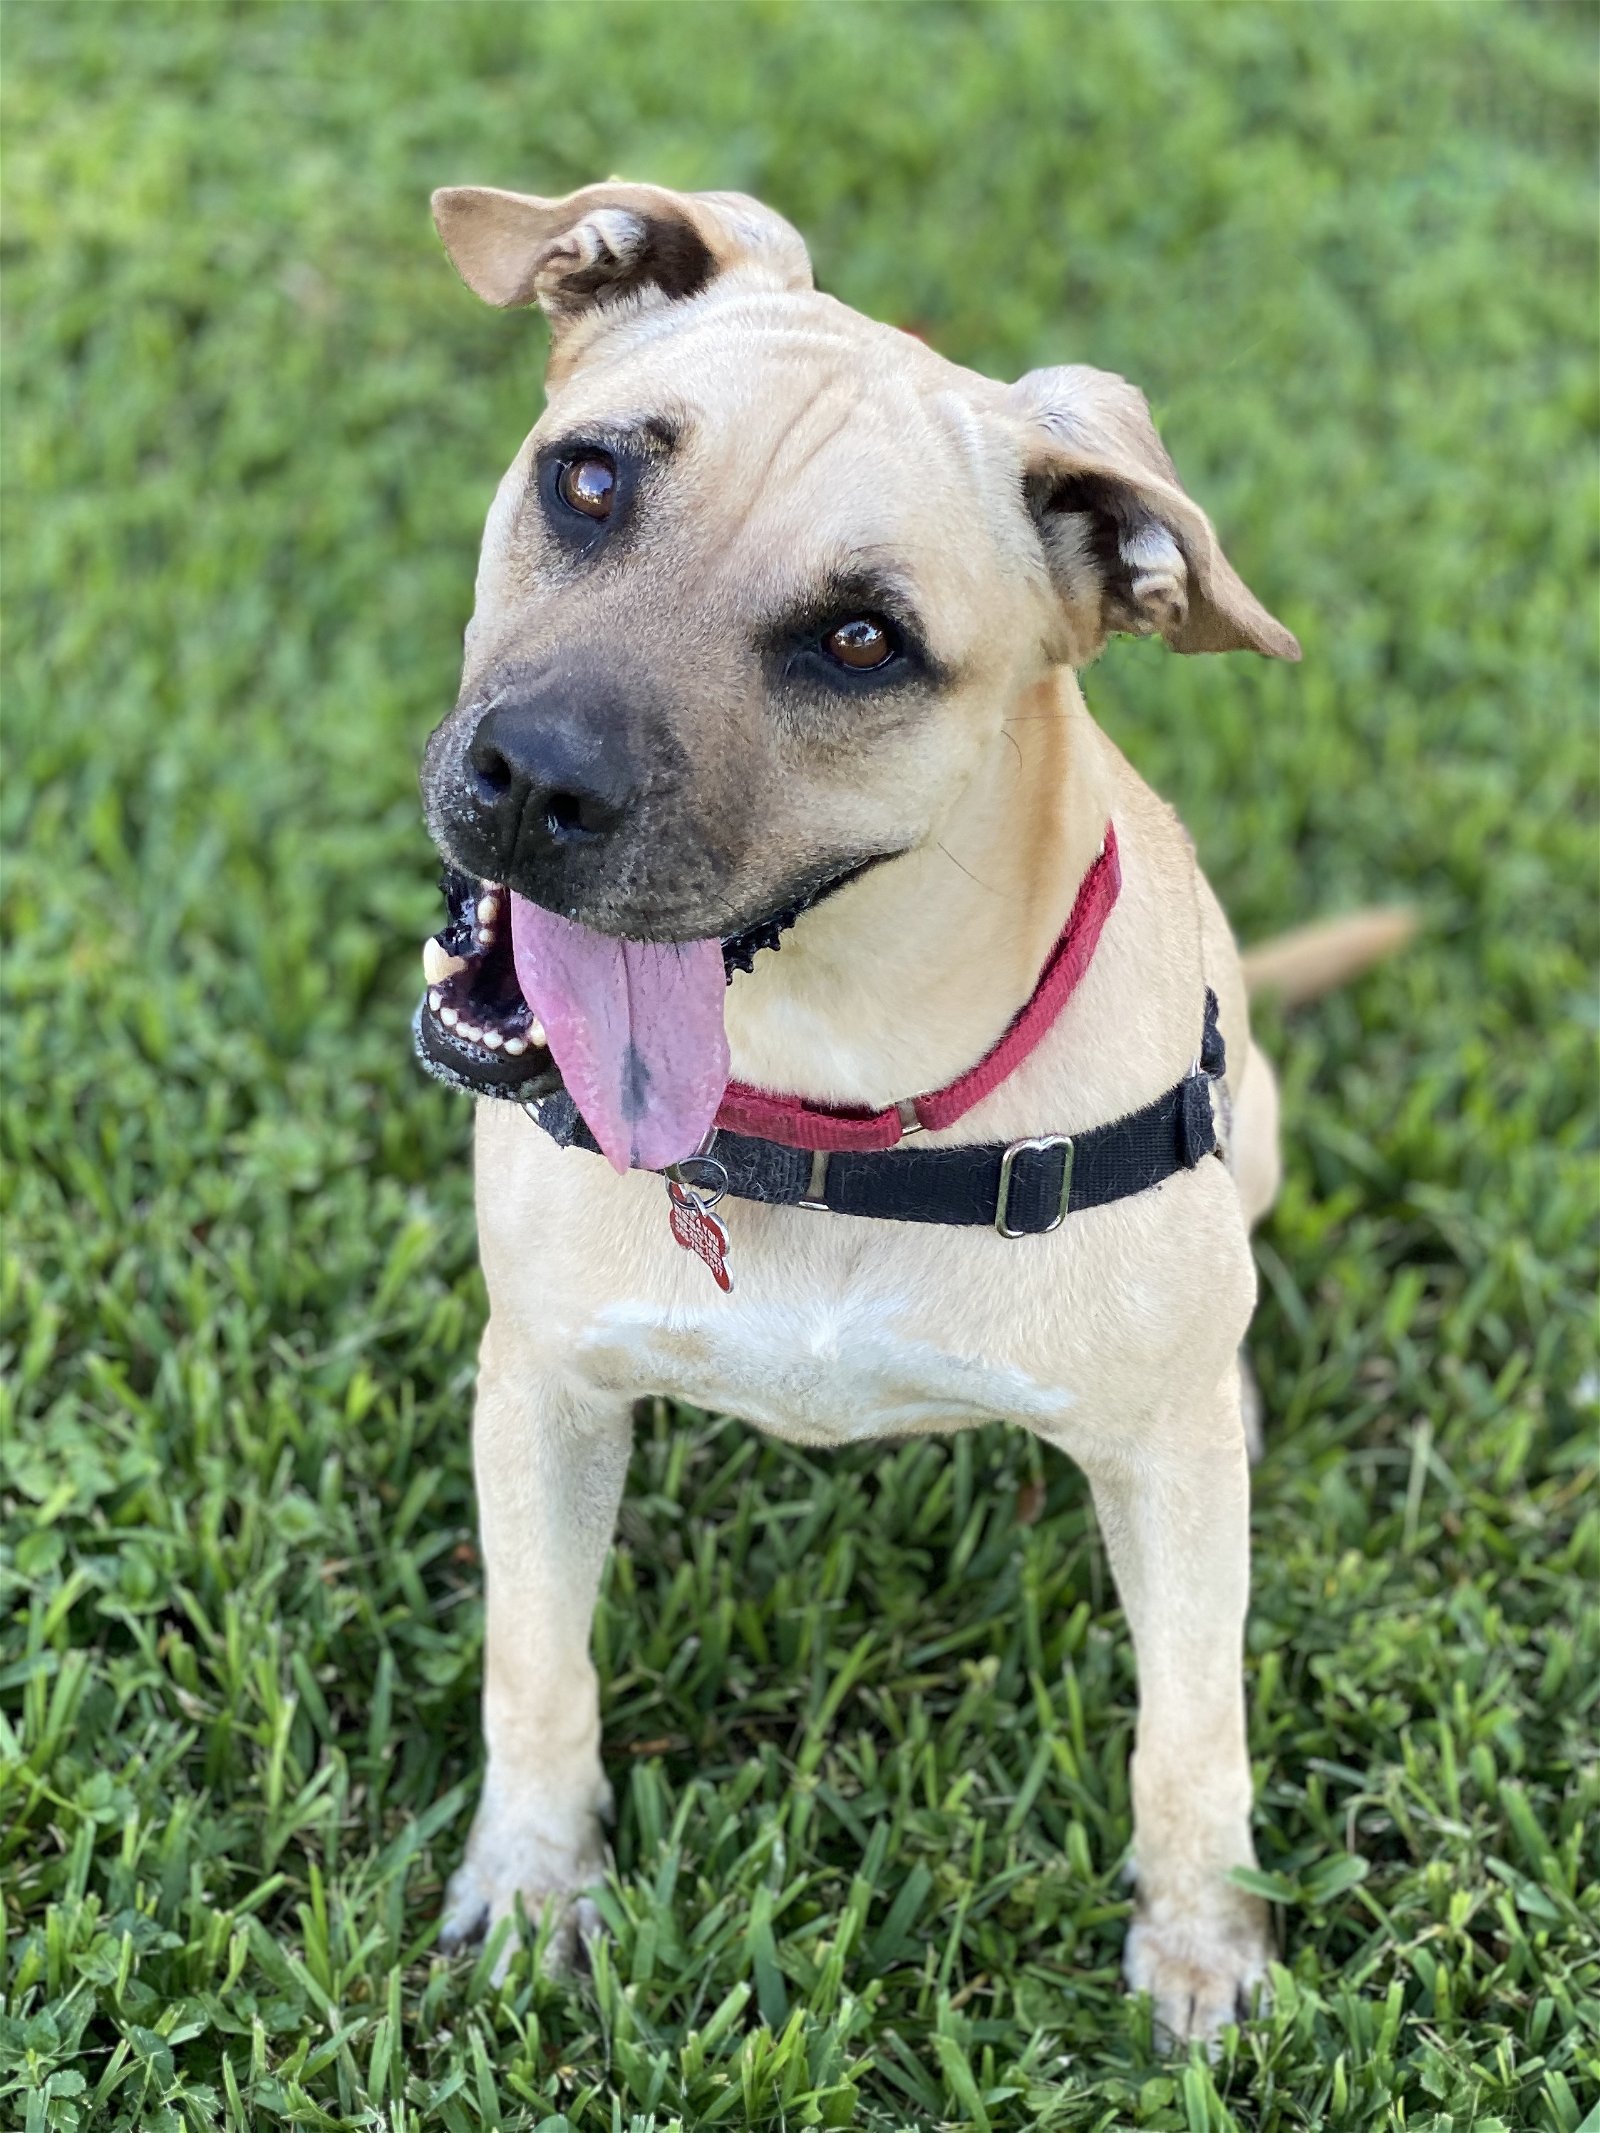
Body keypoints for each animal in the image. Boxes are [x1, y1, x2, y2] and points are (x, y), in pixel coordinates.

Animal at [409, 183, 1399, 2047]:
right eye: (592, 480)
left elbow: (1192, 1726)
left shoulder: (1164, 1473)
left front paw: (1204, 1948)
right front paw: (532, 1886)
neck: (825, 1093)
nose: (533, 780)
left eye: (861, 641)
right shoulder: (544, 1383)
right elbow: (538, 1662)